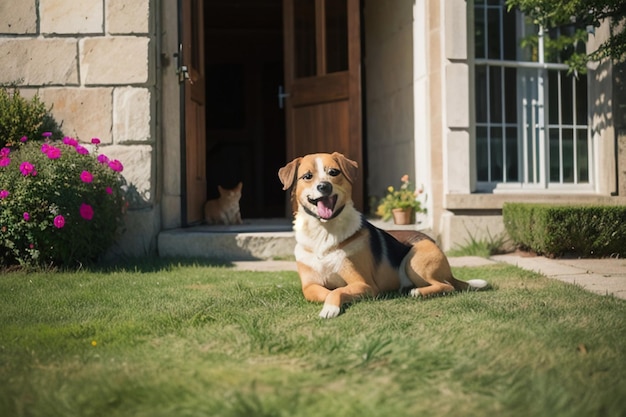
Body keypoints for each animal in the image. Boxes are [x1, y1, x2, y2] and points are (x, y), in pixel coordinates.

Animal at [278, 151, 488, 316]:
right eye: (307, 176)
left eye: (334, 172)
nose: (324, 186)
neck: (324, 231)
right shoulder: (309, 286)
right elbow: (326, 291)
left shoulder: (365, 285)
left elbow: (337, 291)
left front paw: (331, 308)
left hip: (415, 261)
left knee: (447, 286)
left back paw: (418, 291)